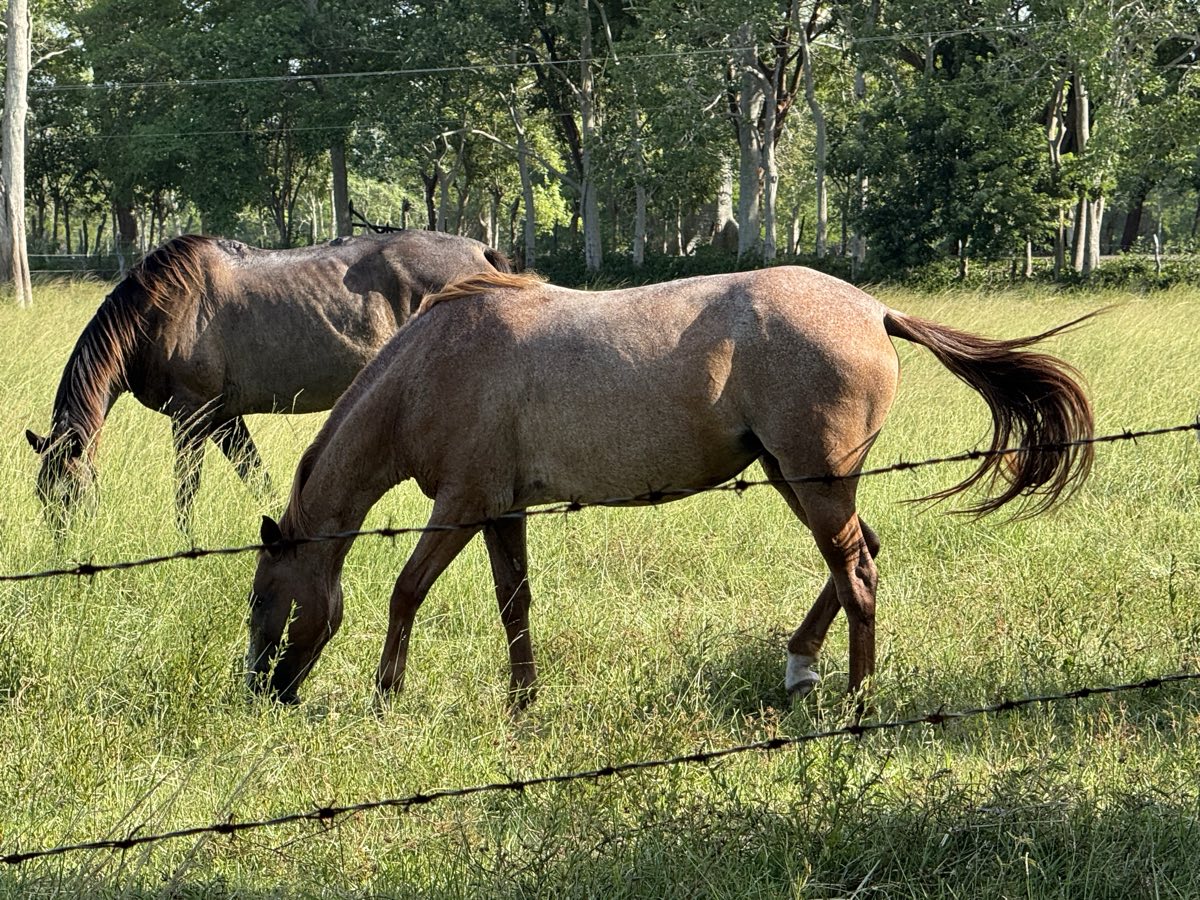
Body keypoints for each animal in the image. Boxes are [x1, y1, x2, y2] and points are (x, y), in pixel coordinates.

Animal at [25, 231, 511, 532]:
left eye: (70, 491)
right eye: (42, 494)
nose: (64, 545)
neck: (159, 309)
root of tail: (481, 252)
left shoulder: (191, 417)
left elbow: (186, 491)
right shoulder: (224, 419)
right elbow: (256, 477)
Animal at [246, 268, 1095, 707]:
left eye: (265, 598)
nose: (263, 690)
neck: (431, 367)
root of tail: (873, 309)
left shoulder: (459, 507)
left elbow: (405, 592)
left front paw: (386, 694)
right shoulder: (501, 510)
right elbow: (514, 603)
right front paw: (524, 703)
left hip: (816, 482)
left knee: (857, 574)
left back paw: (855, 701)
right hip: (794, 477)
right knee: (857, 558)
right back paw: (800, 665)